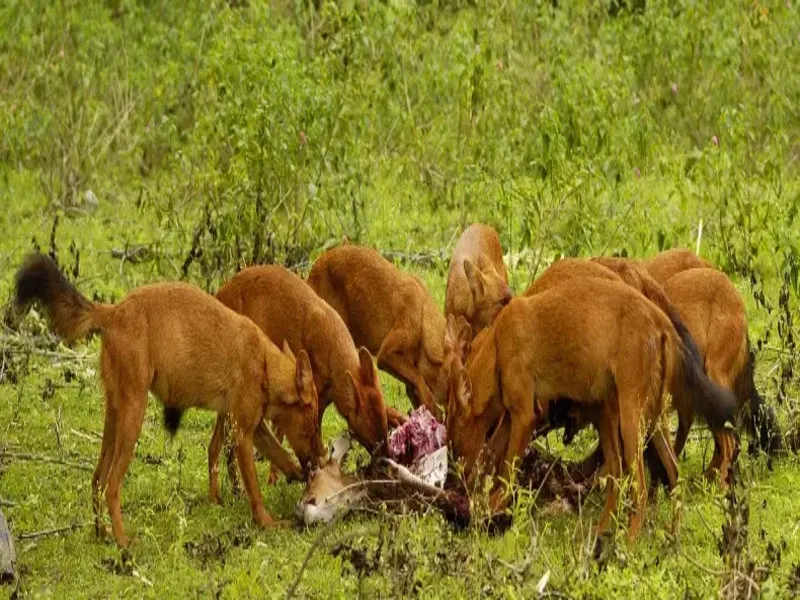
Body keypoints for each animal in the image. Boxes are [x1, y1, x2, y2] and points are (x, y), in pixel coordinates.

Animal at [14, 254, 322, 548]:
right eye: (313, 417)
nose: (320, 458)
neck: (265, 364)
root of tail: (114, 310)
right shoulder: (242, 434)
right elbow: (254, 490)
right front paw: (268, 523)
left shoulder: (253, 427)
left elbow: (281, 456)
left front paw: (300, 475)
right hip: (134, 414)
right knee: (112, 485)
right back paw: (124, 542)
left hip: (113, 414)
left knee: (96, 478)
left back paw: (102, 535)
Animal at [306, 244, 468, 418]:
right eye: (455, 382)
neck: (423, 318)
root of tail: (316, 264)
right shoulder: (386, 353)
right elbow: (419, 379)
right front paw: (433, 410)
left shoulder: (409, 373)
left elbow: (416, 386)